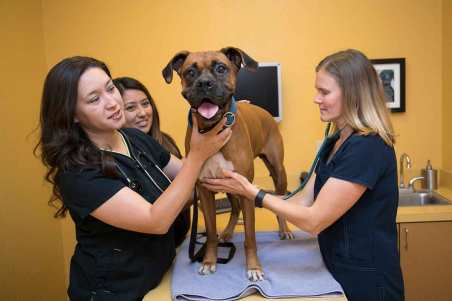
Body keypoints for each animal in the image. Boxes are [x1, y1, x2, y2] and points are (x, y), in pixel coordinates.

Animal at [162, 46, 294, 278]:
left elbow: (250, 236)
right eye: (190, 72)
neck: (213, 130)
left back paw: (284, 229)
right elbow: (211, 233)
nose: (204, 83)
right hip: (229, 186)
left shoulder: (246, 191)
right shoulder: (205, 192)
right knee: (234, 209)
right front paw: (209, 260)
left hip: (278, 172)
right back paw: (228, 232)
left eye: (221, 68)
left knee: (279, 201)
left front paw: (253, 267)